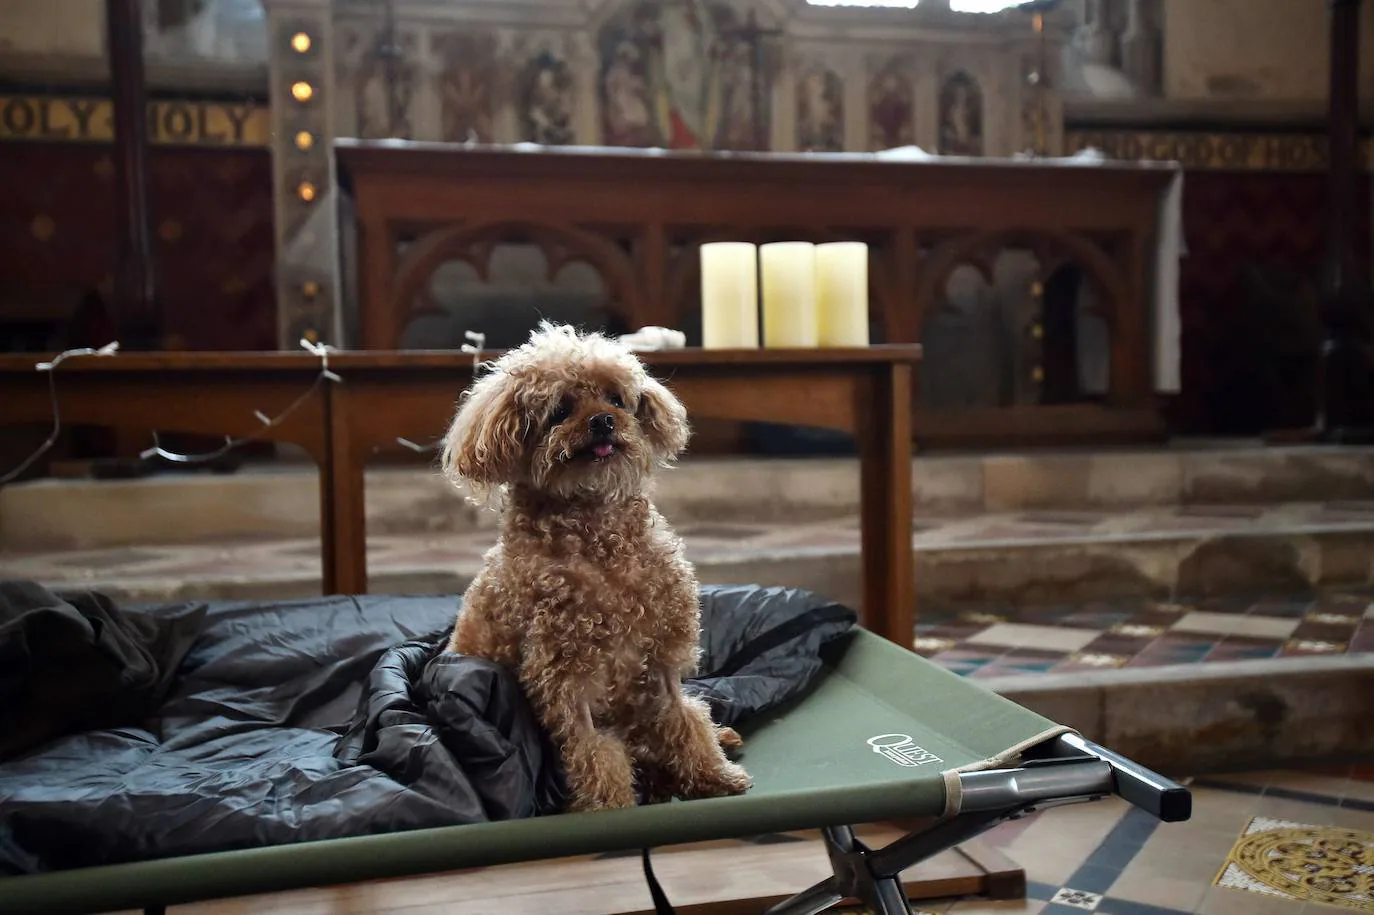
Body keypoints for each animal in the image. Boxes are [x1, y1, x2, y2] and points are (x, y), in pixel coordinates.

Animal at [442, 322, 752, 813]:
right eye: (560, 410)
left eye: (616, 399)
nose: (602, 420)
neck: (598, 538)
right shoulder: (564, 677)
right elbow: (592, 749)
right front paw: (612, 808)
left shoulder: (661, 655)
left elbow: (683, 717)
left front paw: (714, 775)